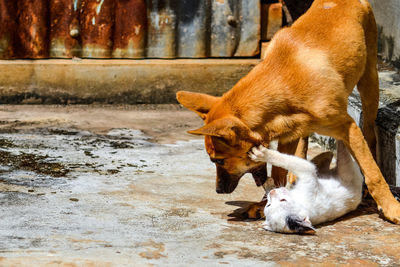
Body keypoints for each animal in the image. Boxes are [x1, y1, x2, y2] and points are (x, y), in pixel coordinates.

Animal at [177, 0, 400, 224]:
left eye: (218, 160)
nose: (218, 191)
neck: (281, 82)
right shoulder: (287, 135)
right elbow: (278, 171)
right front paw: (265, 202)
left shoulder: (348, 127)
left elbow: (373, 173)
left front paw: (391, 207)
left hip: (369, 80)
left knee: (370, 134)